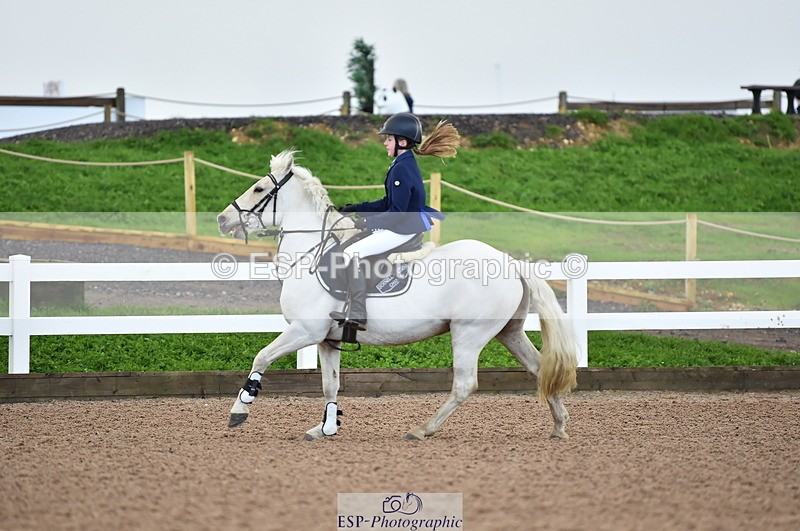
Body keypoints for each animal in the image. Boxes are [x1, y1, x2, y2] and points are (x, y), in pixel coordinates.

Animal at [217, 149, 578, 440]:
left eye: (259, 188)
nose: (222, 218)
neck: (310, 253)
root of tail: (510, 261)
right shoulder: (326, 339)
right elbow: (330, 384)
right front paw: (325, 428)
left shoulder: (305, 330)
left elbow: (261, 357)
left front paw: (240, 409)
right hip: (508, 332)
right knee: (539, 368)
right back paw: (559, 426)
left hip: (469, 333)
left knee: (464, 385)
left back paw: (422, 430)